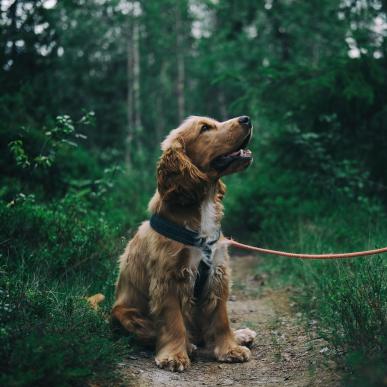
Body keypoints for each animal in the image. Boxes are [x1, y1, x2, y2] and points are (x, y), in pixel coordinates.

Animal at [113, 116, 258, 372]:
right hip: (125, 314)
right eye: (205, 128)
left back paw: (240, 334)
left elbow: (221, 318)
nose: (246, 118)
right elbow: (173, 322)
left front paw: (230, 348)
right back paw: (189, 345)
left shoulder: (217, 273)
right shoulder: (169, 278)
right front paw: (174, 356)